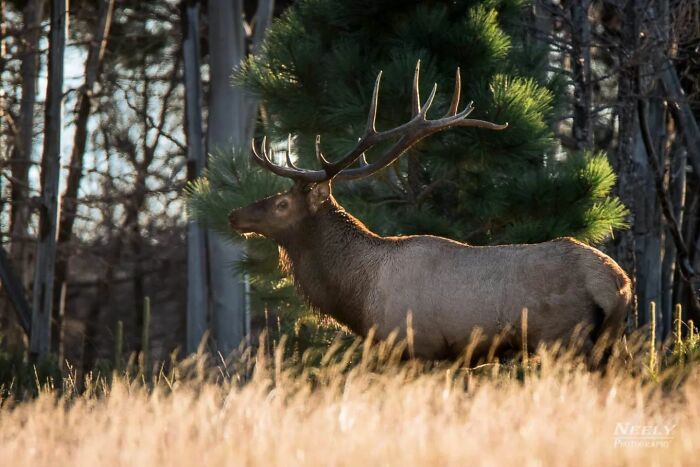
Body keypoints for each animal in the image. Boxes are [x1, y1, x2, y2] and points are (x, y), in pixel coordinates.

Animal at [228, 63, 632, 363]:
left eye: (282, 203)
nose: (234, 215)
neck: (358, 296)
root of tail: (617, 284)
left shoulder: (416, 346)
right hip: (608, 346)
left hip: (561, 340)